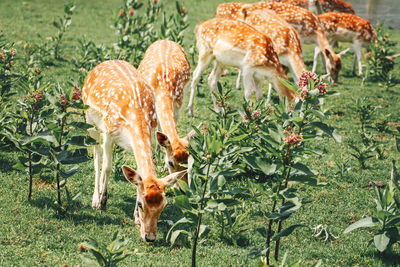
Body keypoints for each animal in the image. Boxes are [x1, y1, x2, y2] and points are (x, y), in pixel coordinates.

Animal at [82, 60, 188, 243]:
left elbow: (139, 176)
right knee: (97, 156)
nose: (150, 237)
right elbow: (107, 167)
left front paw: (136, 219)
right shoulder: (109, 132)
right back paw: (95, 199)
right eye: (141, 205)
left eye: (164, 205)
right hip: (90, 122)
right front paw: (102, 202)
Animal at [216, 1, 346, 82]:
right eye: (333, 68)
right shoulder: (301, 37)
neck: (316, 31)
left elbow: (321, 53)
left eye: (340, 68)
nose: (334, 81)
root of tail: (248, 9)